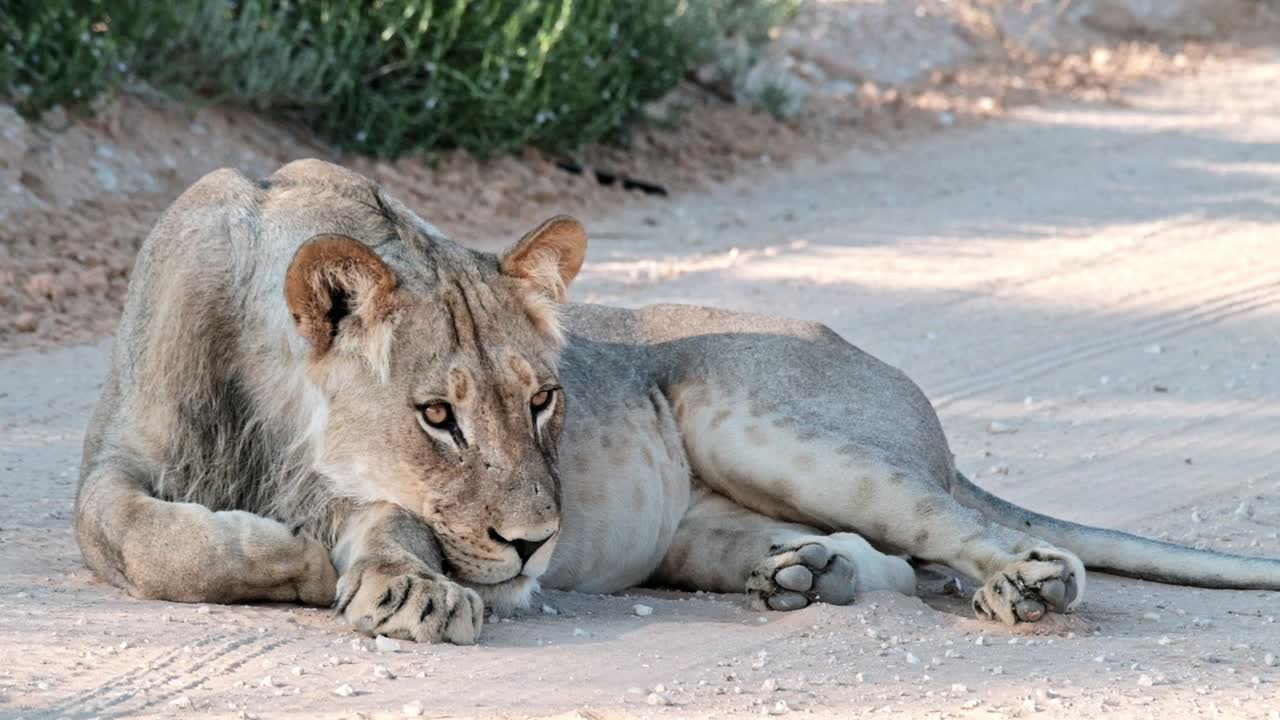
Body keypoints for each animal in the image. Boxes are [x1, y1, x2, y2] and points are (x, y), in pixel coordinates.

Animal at [76, 160, 1280, 644]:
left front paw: (384, 582)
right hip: (707, 515)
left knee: (964, 531)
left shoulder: (386, 499)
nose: (537, 544)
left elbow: (381, 524)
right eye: (437, 416)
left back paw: (1024, 587)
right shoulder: (112, 459)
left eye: (545, 400)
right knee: (892, 565)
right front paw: (285, 552)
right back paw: (801, 574)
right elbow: (135, 533)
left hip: (754, 416)